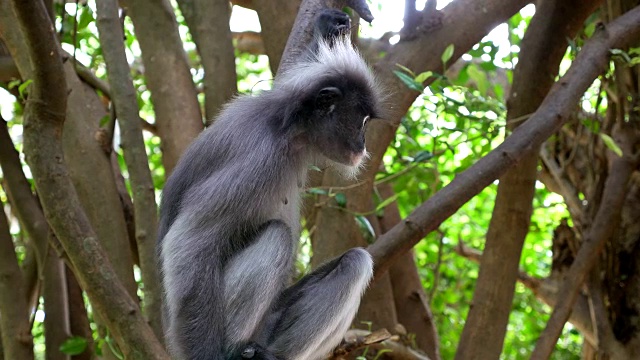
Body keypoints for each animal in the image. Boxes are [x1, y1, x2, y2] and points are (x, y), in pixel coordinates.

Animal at [158, 8, 382, 360]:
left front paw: (327, 27)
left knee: (356, 263)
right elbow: (189, 241)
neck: (288, 129)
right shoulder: (257, 158)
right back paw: (237, 351)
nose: (362, 144)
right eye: (359, 122)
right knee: (276, 236)